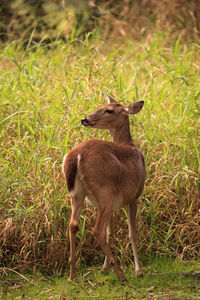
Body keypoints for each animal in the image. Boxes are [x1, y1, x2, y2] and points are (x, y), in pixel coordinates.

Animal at [63, 93, 146, 282]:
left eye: (108, 110)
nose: (84, 119)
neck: (130, 145)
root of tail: (76, 155)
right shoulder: (134, 197)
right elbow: (132, 232)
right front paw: (138, 270)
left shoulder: (115, 203)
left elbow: (111, 233)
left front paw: (104, 268)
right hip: (104, 190)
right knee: (97, 230)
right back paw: (121, 274)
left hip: (78, 194)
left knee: (73, 225)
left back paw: (72, 275)